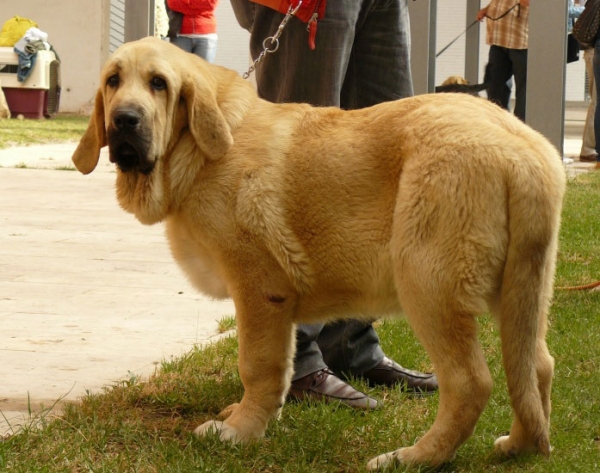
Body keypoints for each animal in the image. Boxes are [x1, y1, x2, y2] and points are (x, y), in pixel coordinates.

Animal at [72, 37, 564, 468]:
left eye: (159, 83)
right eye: (113, 81)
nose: (125, 120)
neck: (199, 146)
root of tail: (523, 150)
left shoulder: (259, 289)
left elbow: (258, 365)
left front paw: (241, 432)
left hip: (429, 284)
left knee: (471, 384)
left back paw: (414, 458)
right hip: (524, 290)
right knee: (536, 366)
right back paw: (519, 445)